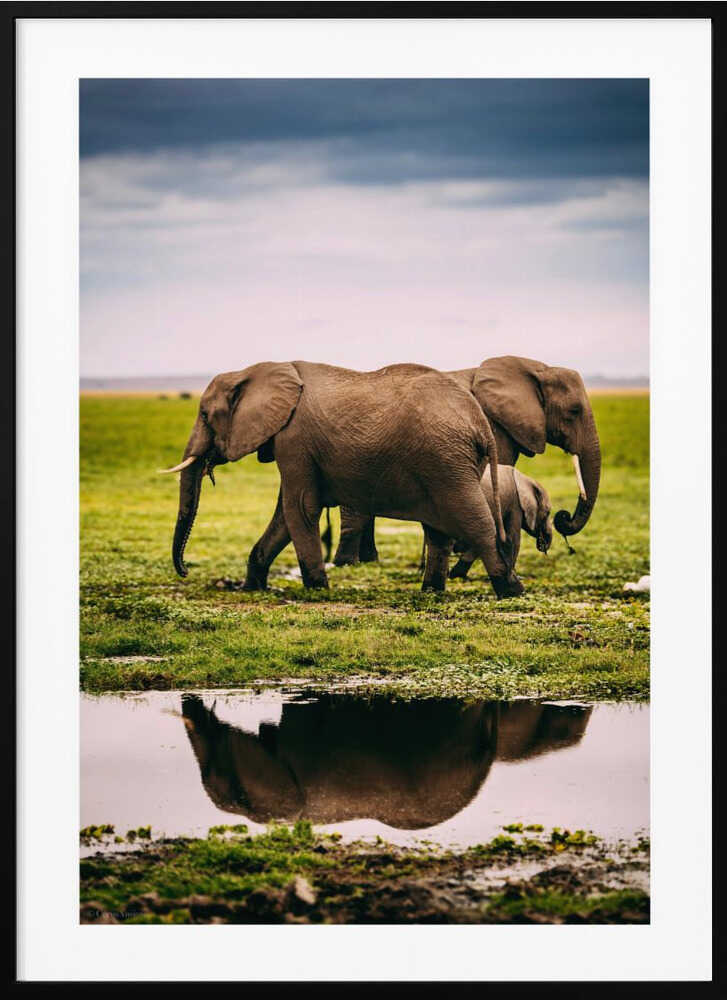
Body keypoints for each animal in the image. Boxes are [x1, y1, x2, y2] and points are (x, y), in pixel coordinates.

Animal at [160, 361, 524, 598]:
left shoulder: (295, 438)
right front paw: (252, 587)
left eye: (205, 415)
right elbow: (283, 515)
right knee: (438, 530)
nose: (185, 570)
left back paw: (511, 590)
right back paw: (431, 591)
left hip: (446, 461)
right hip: (445, 463)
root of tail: (480, 422)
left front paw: (317, 588)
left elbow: (299, 508)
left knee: (474, 521)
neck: (258, 371)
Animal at [332, 355, 601, 569]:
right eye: (574, 411)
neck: (537, 368)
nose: (563, 518)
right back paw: (348, 563)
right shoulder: (495, 427)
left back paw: (368, 560)